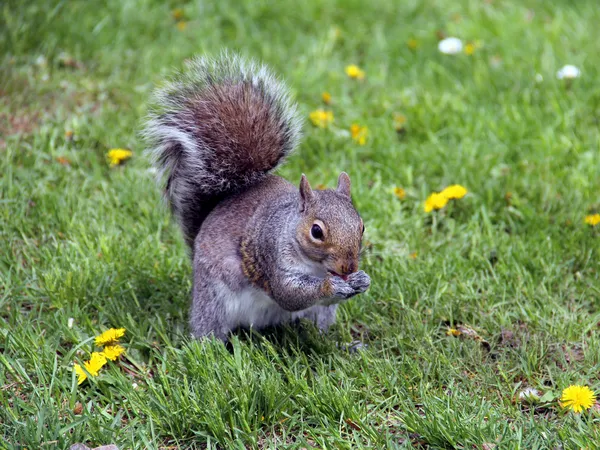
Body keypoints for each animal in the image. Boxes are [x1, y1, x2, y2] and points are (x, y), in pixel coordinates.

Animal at [144, 52, 370, 340]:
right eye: (316, 231)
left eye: (361, 227)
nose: (348, 268)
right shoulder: (272, 255)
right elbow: (289, 294)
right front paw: (330, 286)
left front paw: (362, 280)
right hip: (214, 300)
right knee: (209, 326)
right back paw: (210, 344)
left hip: (319, 314)